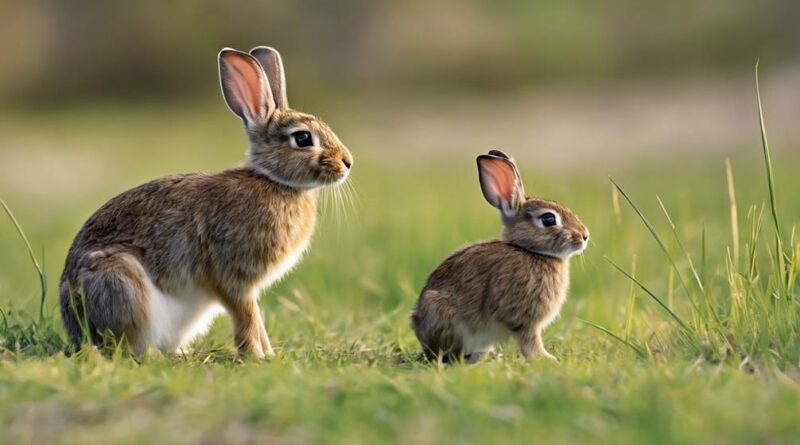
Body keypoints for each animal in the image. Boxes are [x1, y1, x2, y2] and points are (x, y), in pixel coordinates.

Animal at [59, 46, 354, 358]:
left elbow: (256, 320)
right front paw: (256, 356)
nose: (348, 162)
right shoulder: (234, 278)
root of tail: (74, 327)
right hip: (120, 283)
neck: (274, 182)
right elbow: (247, 317)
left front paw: (269, 353)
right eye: (303, 138)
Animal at [412, 149, 588, 360]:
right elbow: (530, 341)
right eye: (548, 219)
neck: (531, 251)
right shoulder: (523, 319)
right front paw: (546, 359)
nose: (585, 236)